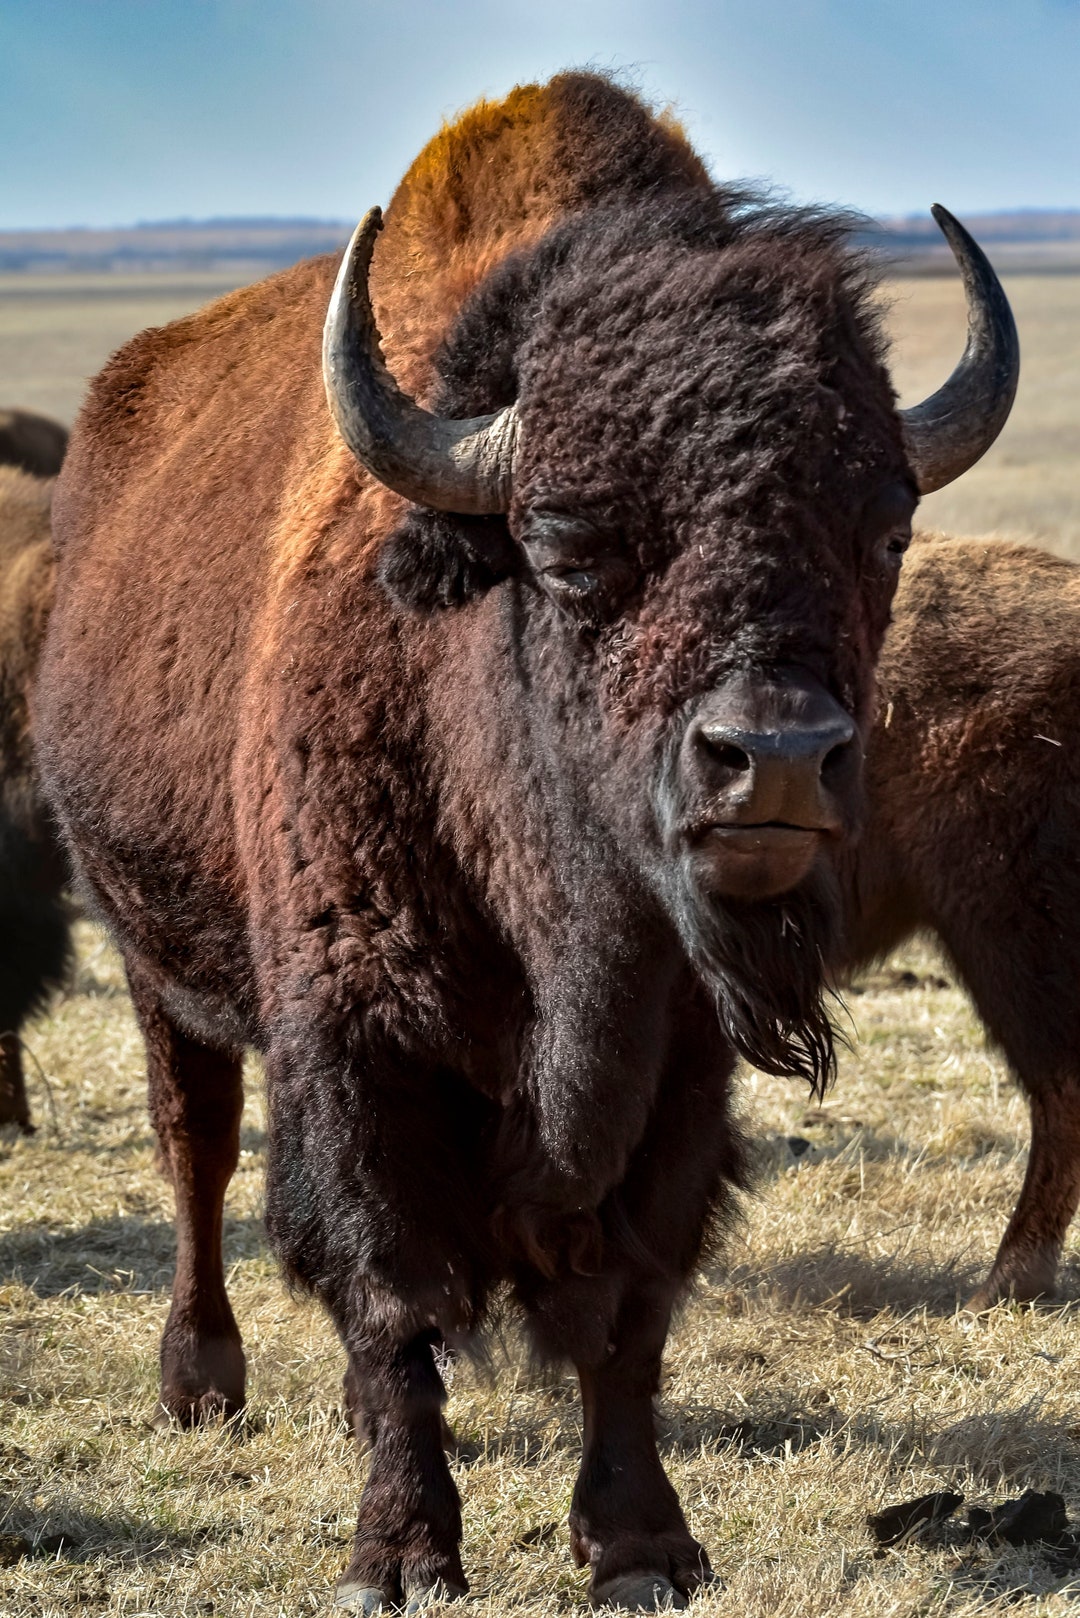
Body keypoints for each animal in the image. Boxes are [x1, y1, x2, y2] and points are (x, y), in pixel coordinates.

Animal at [36, 74, 1016, 1610]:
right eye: (565, 546)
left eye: (886, 531)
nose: (776, 758)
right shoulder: (354, 1041)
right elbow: (388, 1288)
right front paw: (398, 1553)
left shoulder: (679, 1070)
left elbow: (627, 1302)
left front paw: (641, 1545)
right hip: (152, 953)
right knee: (194, 1143)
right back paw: (201, 1381)